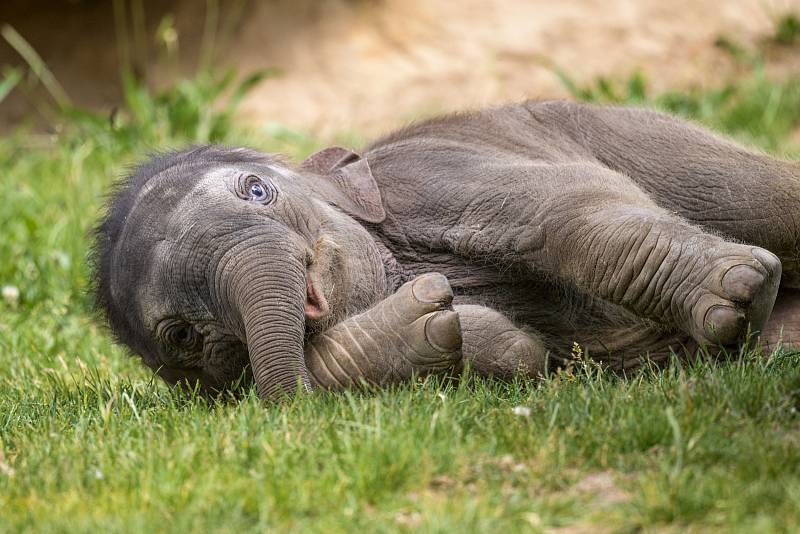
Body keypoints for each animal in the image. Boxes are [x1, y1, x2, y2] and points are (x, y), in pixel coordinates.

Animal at [92, 101, 800, 402]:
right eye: (182, 336)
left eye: (257, 190)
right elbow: (516, 355)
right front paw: (430, 320)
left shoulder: (430, 174)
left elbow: (566, 207)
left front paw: (736, 295)